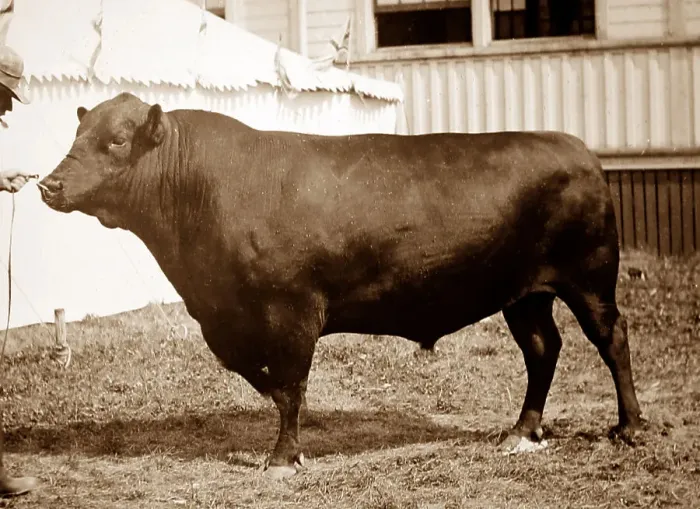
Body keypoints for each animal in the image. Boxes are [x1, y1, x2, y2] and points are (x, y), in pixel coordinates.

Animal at [39, 93, 644, 479]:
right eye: (77, 133)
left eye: (118, 140)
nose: (49, 184)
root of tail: (577, 149)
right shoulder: (225, 319)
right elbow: (262, 378)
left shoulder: (291, 310)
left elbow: (290, 385)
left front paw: (283, 458)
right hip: (524, 294)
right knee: (543, 349)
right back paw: (522, 431)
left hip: (589, 275)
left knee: (611, 339)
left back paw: (630, 427)